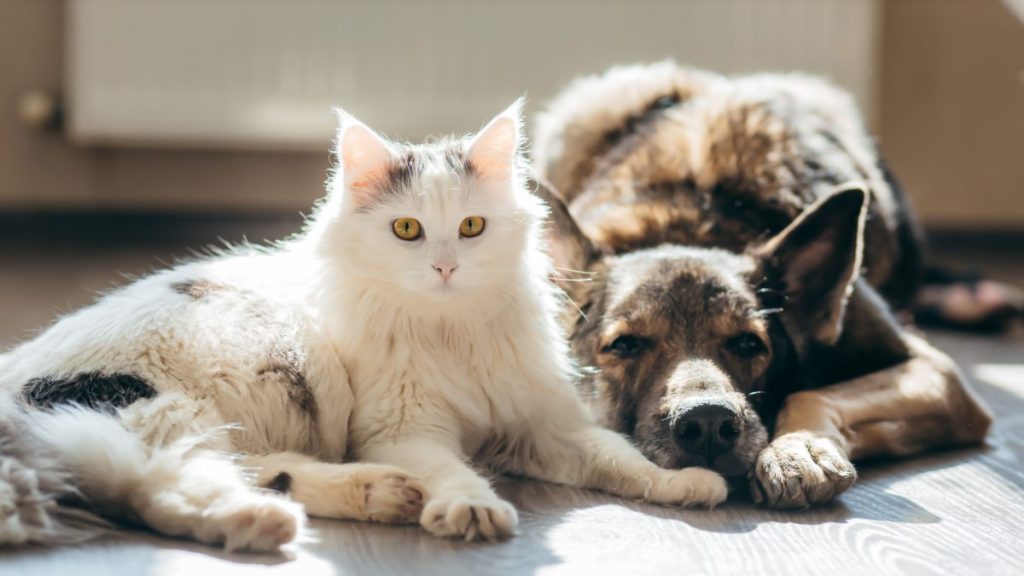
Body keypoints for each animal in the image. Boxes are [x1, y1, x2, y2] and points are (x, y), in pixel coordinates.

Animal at [0, 100, 729, 549]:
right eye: (406, 230)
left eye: (472, 226)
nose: (444, 267)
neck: (451, 332)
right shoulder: (402, 428)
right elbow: (454, 470)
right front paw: (471, 509)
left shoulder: (541, 426)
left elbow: (619, 458)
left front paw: (687, 483)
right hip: (176, 403)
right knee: (157, 488)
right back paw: (279, 520)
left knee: (241, 472)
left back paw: (376, 495)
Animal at [532, 60, 995, 504]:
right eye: (625, 345)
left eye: (748, 343)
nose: (707, 422)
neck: (689, 222)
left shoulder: (936, 374)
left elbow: (809, 393)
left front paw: (798, 447)